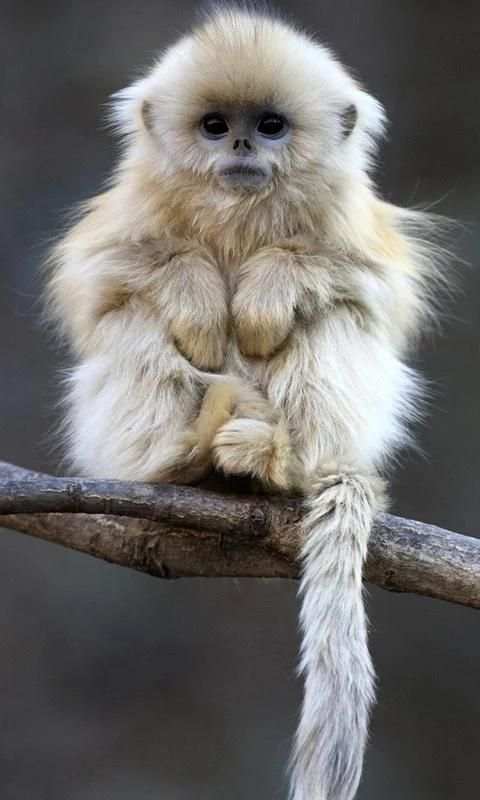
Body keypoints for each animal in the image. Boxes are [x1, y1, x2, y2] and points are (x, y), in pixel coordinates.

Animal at [46, 7, 449, 799]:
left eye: (269, 125)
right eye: (213, 126)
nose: (238, 145)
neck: (239, 211)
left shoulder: (355, 230)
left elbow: (370, 287)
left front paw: (265, 291)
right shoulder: (125, 216)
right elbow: (102, 278)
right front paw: (200, 297)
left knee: (333, 317)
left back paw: (273, 461)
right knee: (134, 319)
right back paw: (182, 457)